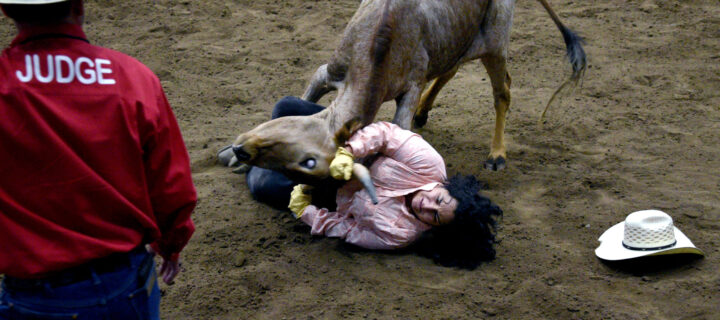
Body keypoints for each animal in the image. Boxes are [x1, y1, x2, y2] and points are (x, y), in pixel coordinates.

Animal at [229, 0, 584, 184]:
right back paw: (427, 112)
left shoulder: (409, 90)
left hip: (495, 45)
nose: (243, 150)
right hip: (458, 44)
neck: (381, 42)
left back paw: (497, 154)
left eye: (308, 162)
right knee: (450, 70)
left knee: (502, 92)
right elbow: (308, 95)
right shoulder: (329, 72)